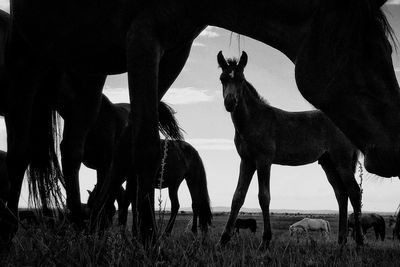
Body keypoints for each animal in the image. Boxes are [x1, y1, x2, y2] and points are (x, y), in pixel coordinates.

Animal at [219, 51, 362, 250]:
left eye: (240, 79)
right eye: (222, 78)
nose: (230, 103)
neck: (254, 120)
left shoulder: (264, 160)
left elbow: (264, 197)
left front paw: (265, 241)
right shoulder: (246, 161)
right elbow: (237, 197)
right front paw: (223, 240)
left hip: (342, 160)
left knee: (354, 192)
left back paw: (359, 242)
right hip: (328, 163)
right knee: (341, 193)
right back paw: (341, 242)